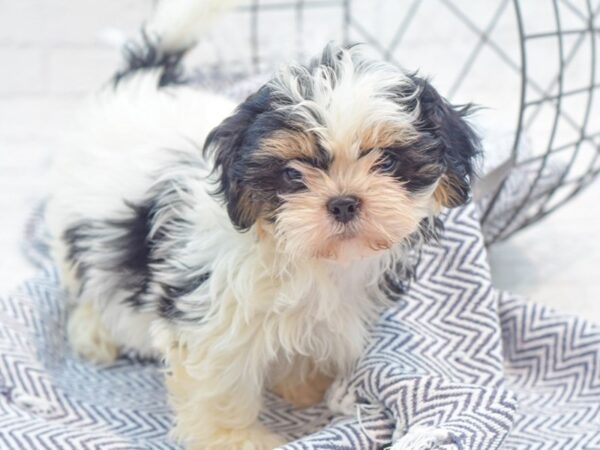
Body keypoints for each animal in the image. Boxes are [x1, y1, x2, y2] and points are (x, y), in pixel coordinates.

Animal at [45, 1, 478, 448]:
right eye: (291, 174)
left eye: (388, 161)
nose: (343, 203)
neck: (305, 256)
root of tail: (142, 80)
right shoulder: (211, 317)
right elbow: (219, 385)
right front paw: (234, 437)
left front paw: (303, 385)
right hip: (75, 222)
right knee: (85, 278)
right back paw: (93, 331)